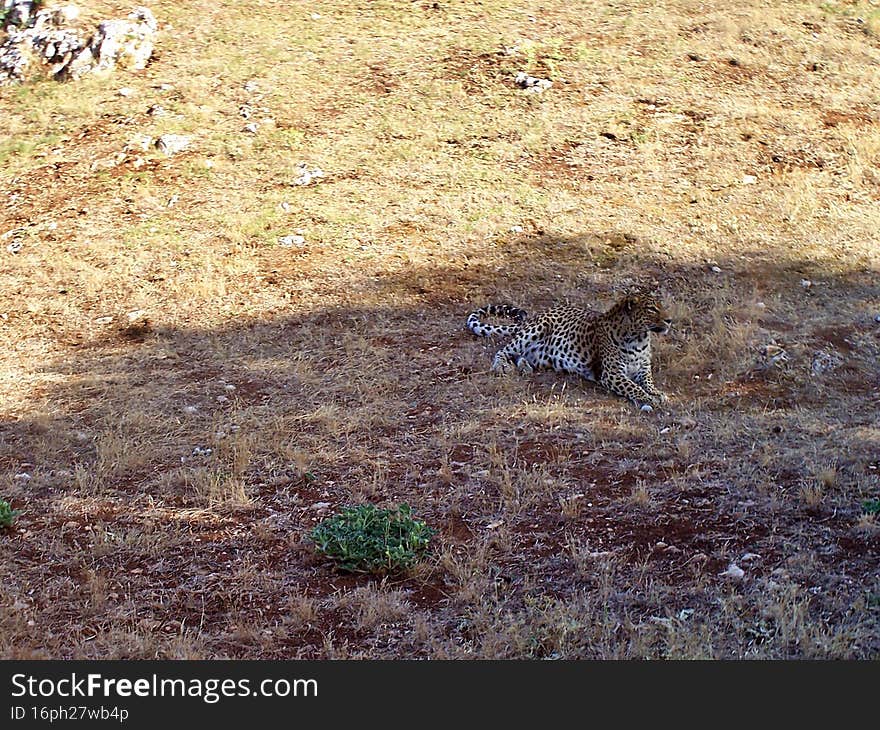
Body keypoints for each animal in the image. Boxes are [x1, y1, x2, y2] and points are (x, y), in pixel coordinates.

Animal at [468, 290, 672, 410]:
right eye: (652, 309)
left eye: (661, 306)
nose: (670, 320)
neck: (639, 339)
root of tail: (533, 317)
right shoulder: (612, 374)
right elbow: (633, 387)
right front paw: (649, 398)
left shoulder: (643, 368)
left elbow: (648, 382)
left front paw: (657, 393)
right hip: (537, 329)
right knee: (504, 350)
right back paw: (501, 366)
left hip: (542, 356)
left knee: (521, 355)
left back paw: (525, 366)